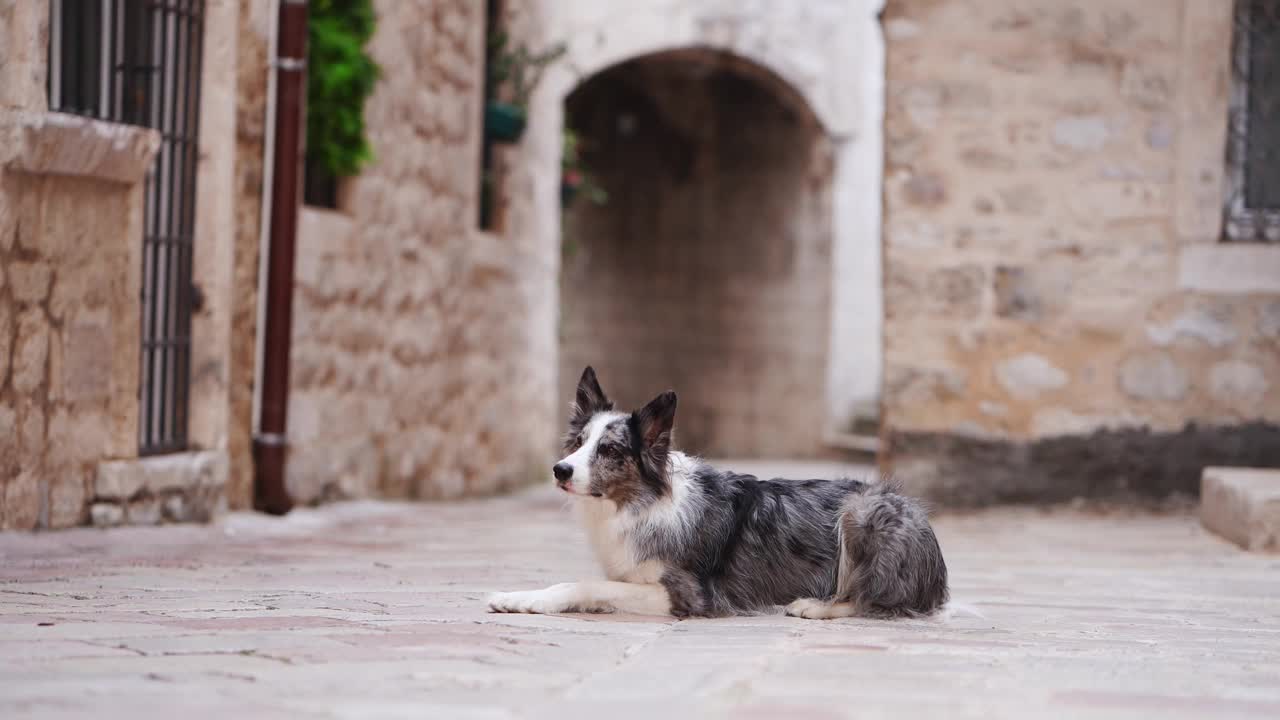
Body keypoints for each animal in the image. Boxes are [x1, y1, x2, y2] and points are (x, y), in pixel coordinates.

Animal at [483, 366, 947, 614]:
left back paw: (814, 606)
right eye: (578, 443)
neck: (641, 502)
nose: (560, 470)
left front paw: (534, 601)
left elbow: (583, 584)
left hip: (863, 511)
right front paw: (518, 596)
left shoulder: (689, 594)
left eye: (610, 450)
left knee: (874, 598)